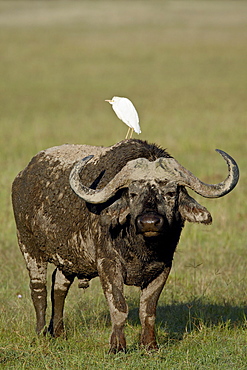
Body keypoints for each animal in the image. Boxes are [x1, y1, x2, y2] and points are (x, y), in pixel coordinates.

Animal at [12, 139, 239, 352]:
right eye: (132, 193)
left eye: (171, 193)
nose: (149, 222)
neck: (142, 248)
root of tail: (23, 176)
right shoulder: (108, 265)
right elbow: (119, 308)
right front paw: (117, 346)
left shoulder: (163, 267)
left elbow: (148, 310)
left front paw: (149, 345)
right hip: (29, 247)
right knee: (38, 290)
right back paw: (41, 332)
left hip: (69, 259)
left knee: (59, 287)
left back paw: (58, 332)